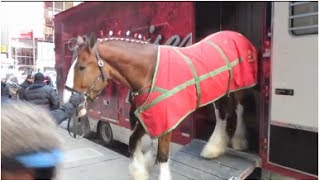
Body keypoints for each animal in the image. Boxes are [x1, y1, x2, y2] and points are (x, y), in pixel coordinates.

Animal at [65, 31, 260, 180]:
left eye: (81, 67)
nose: (68, 99)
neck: (148, 72)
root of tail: (237, 35)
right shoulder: (143, 116)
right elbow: (133, 142)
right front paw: (141, 168)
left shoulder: (166, 120)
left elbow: (163, 153)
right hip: (217, 90)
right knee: (221, 115)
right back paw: (213, 148)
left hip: (240, 86)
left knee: (239, 109)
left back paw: (239, 141)